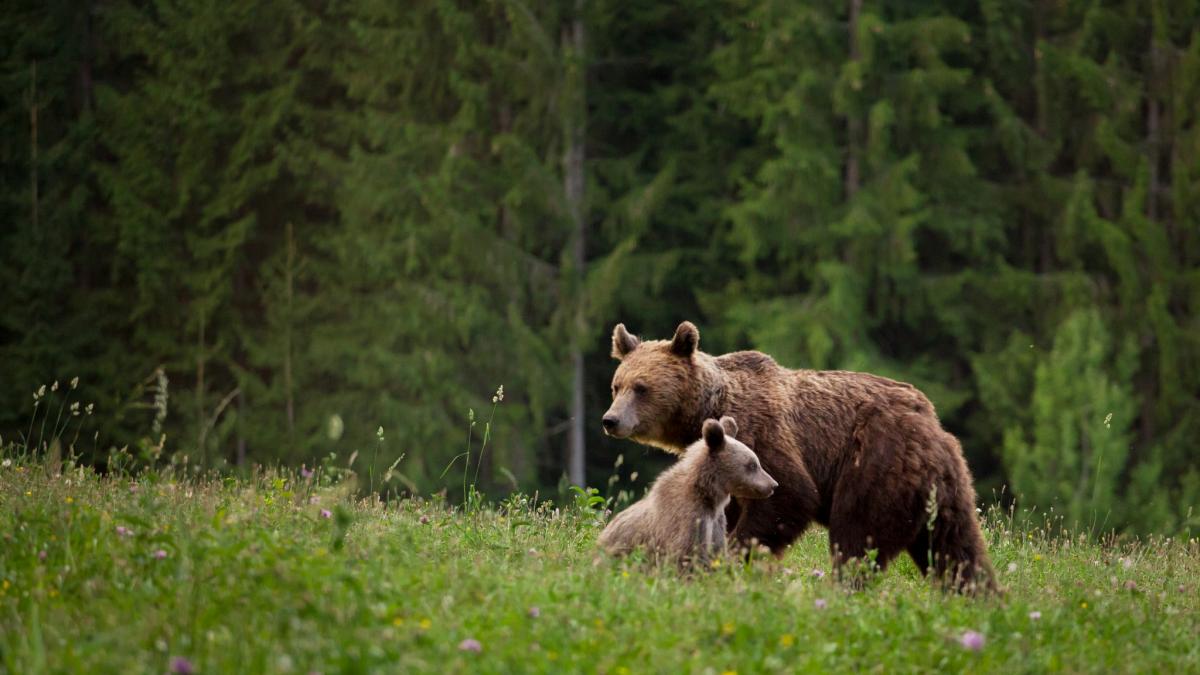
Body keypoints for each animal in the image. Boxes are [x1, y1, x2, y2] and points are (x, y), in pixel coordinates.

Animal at [604, 319, 998, 588]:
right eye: (616, 385)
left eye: (642, 387)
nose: (611, 420)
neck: (707, 409)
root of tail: (931, 423)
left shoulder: (763, 433)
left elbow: (790, 494)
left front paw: (737, 554)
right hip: (945, 488)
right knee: (957, 547)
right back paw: (977, 595)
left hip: (875, 466)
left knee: (857, 537)